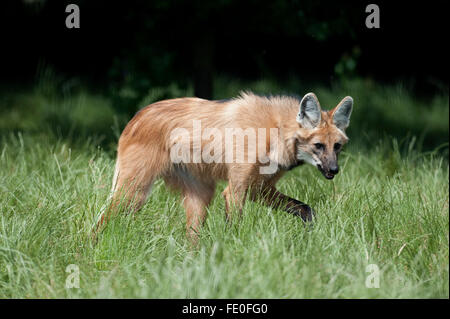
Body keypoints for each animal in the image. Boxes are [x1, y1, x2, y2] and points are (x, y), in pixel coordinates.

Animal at [96, 92, 354, 242]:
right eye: (318, 146)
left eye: (337, 147)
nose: (334, 170)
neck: (275, 132)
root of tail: (136, 116)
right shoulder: (235, 190)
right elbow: (236, 227)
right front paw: (232, 255)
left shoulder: (259, 189)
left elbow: (307, 210)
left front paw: (311, 239)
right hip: (134, 193)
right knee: (100, 222)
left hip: (200, 196)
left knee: (192, 238)